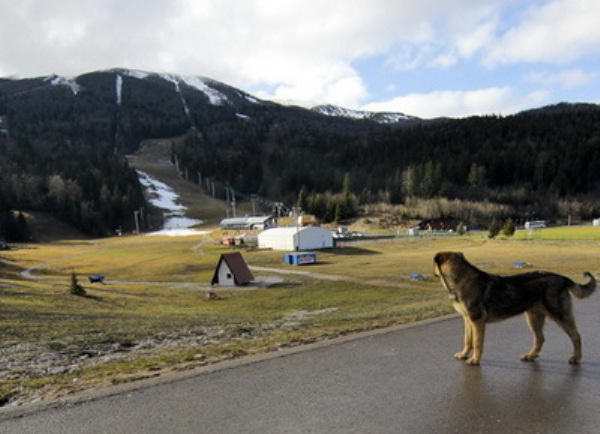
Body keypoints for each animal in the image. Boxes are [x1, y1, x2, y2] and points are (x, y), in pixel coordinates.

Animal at [432, 251, 596, 366]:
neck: (460, 278)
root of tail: (563, 278)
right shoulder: (468, 320)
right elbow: (467, 340)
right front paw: (464, 354)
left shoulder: (477, 321)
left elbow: (477, 343)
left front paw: (474, 360)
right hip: (533, 318)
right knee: (540, 339)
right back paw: (530, 355)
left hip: (559, 315)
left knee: (576, 336)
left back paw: (576, 358)